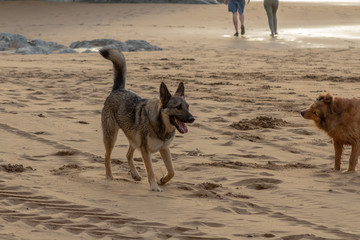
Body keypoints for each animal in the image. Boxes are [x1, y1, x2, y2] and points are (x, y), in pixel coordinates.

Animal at [99, 48, 194, 191]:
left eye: (187, 107)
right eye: (178, 107)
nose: (192, 119)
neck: (160, 124)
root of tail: (118, 89)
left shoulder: (164, 149)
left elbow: (172, 171)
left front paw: (163, 180)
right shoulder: (145, 150)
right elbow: (151, 171)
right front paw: (154, 186)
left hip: (133, 137)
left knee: (128, 155)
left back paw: (135, 174)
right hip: (111, 137)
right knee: (106, 157)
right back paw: (109, 176)